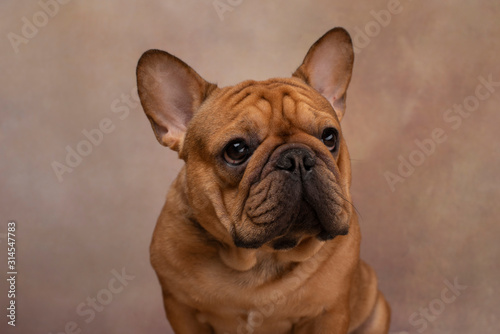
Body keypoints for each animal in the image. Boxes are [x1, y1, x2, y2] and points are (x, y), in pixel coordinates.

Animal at [136, 27, 390, 332]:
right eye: (236, 149)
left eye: (329, 137)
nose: (297, 158)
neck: (261, 255)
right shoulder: (181, 309)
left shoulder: (329, 312)